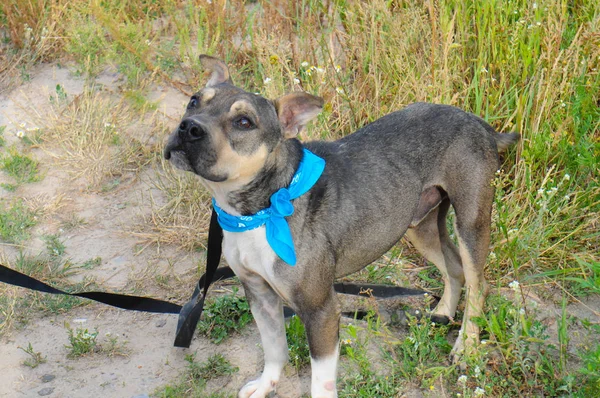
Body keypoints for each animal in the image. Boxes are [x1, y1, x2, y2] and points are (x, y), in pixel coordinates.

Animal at [164, 56, 520, 398]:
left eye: (243, 122)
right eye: (194, 101)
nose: (188, 127)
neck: (260, 211)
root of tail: (481, 124)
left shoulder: (321, 312)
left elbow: (320, 384)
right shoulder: (259, 295)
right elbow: (274, 350)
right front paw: (267, 385)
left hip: (471, 222)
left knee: (478, 283)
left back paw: (467, 346)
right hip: (419, 225)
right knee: (454, 267)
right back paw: (443, 313)